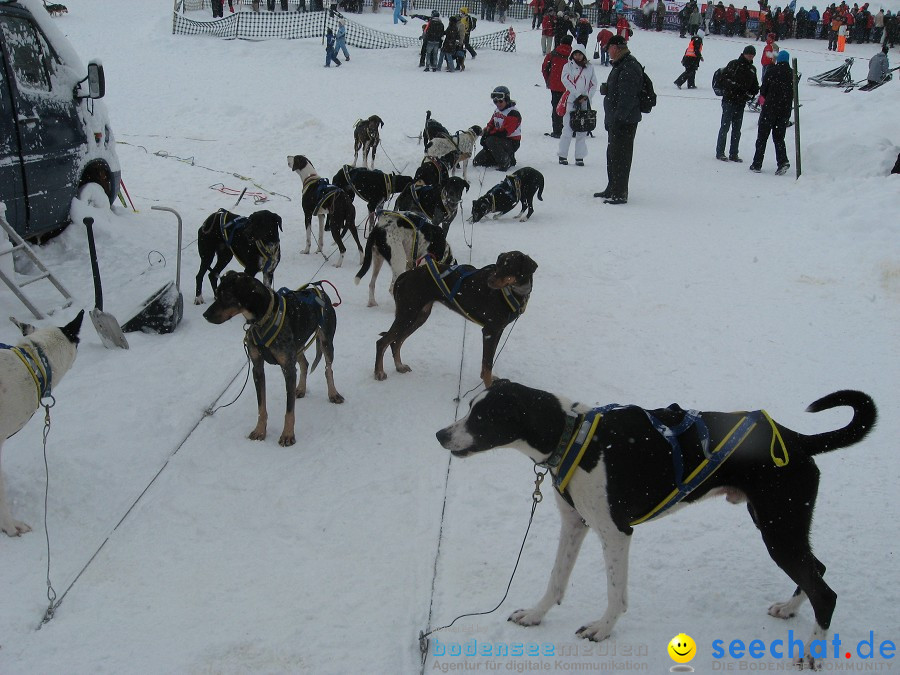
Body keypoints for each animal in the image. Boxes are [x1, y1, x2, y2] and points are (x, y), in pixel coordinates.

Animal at [436, 380, 880, 672]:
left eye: (481, 415)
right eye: (470, 406)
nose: (440, 434)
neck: (573, 437)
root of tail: (799, 441)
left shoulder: (615, 533)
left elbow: (616, 594)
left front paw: (602, 629)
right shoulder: (575, 524)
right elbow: (556, 580)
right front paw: (535, 615)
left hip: (778, 530)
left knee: (825, 592)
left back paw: (812, 653)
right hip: (781, 526)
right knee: (816, 571)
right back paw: (789, 609)